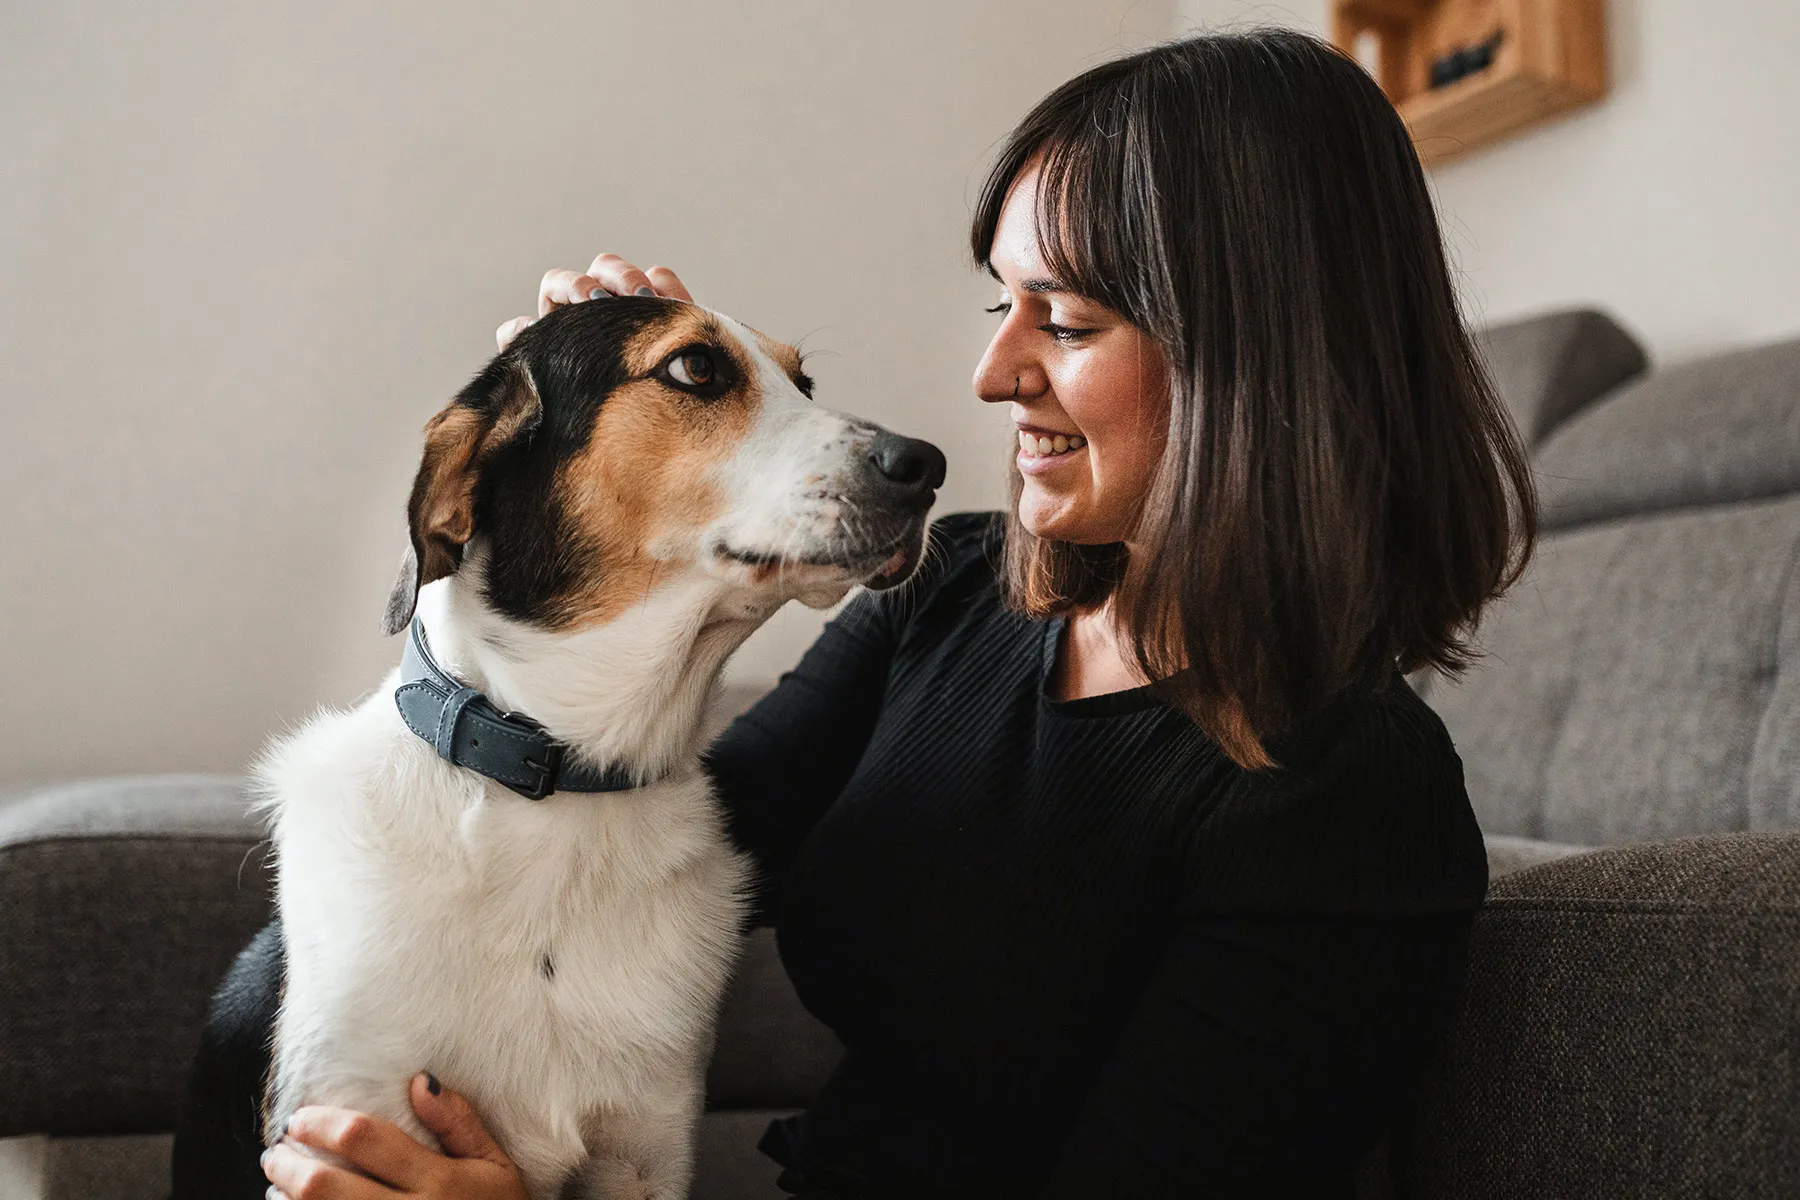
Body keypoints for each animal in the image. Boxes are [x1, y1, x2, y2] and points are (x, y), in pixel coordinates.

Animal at [177, 293, 950, 1200]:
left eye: (805, 383)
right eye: (696, 368)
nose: (926, 464)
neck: (564, 783)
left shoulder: (645, 1156)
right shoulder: (339, 1131)